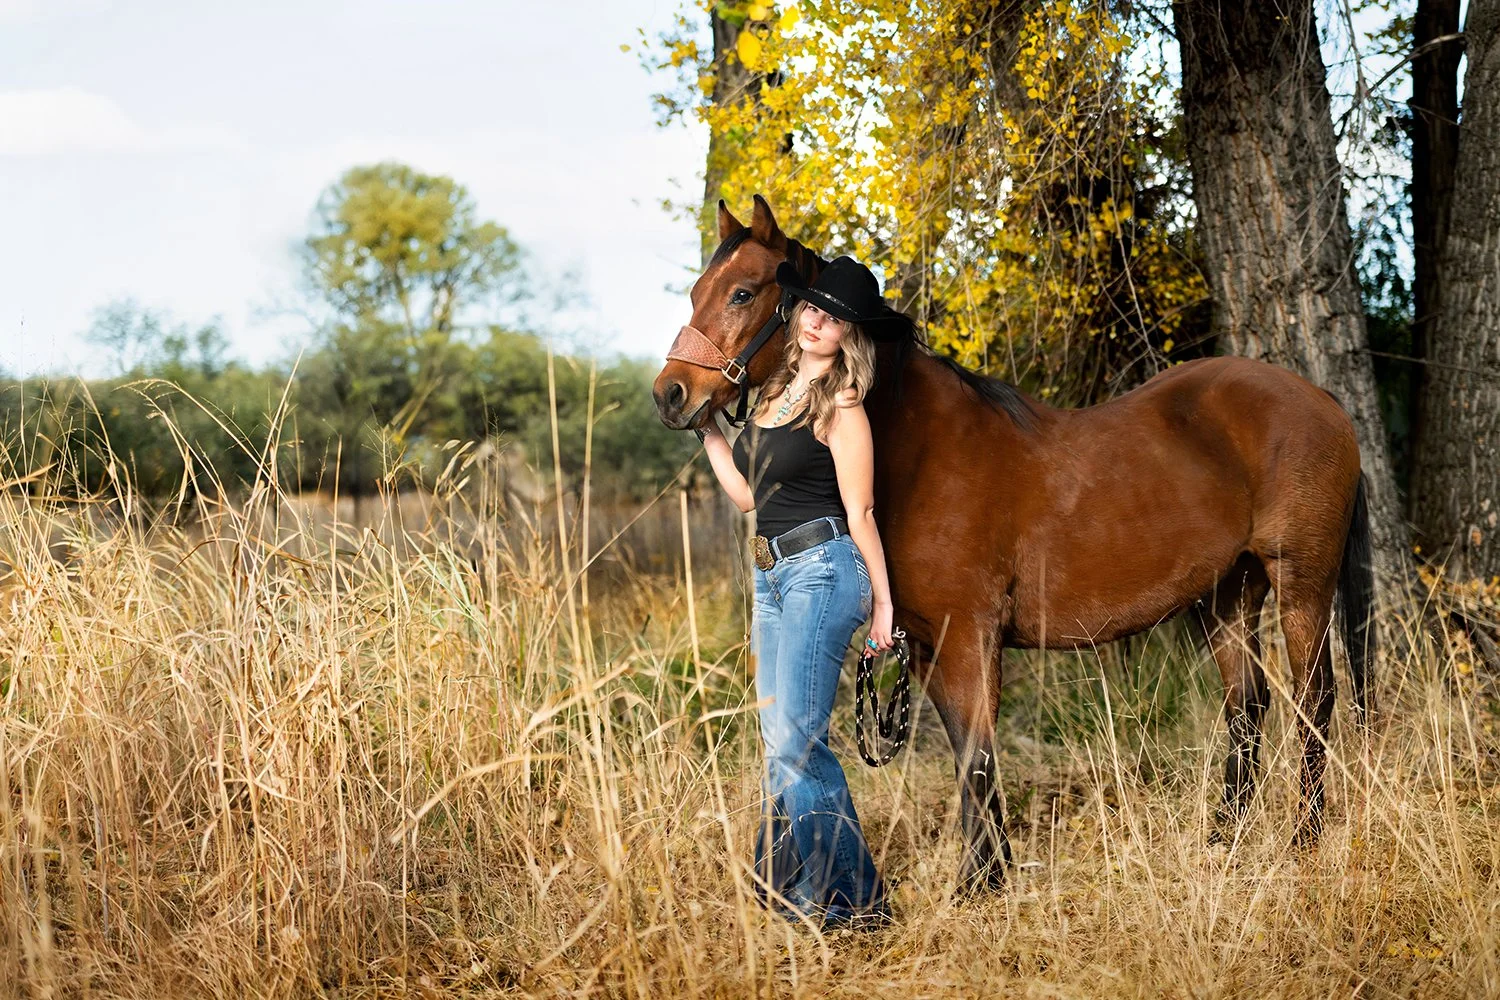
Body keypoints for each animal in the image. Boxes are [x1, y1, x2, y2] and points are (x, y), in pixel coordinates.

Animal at [653, 195, 1375, 891]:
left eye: (743, 293)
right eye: (695, 292)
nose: (670, 394)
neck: (920, 449)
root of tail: (1323, 401)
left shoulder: (971, 634)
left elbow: (977, 751)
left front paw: (975, 884)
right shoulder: (930, 646)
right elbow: (967, 755)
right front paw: (990, 872)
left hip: (1301, 583)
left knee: (1314, 699)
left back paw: (1303, 840)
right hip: (1227, 594)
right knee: (1247, 708)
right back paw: (1224, 838)